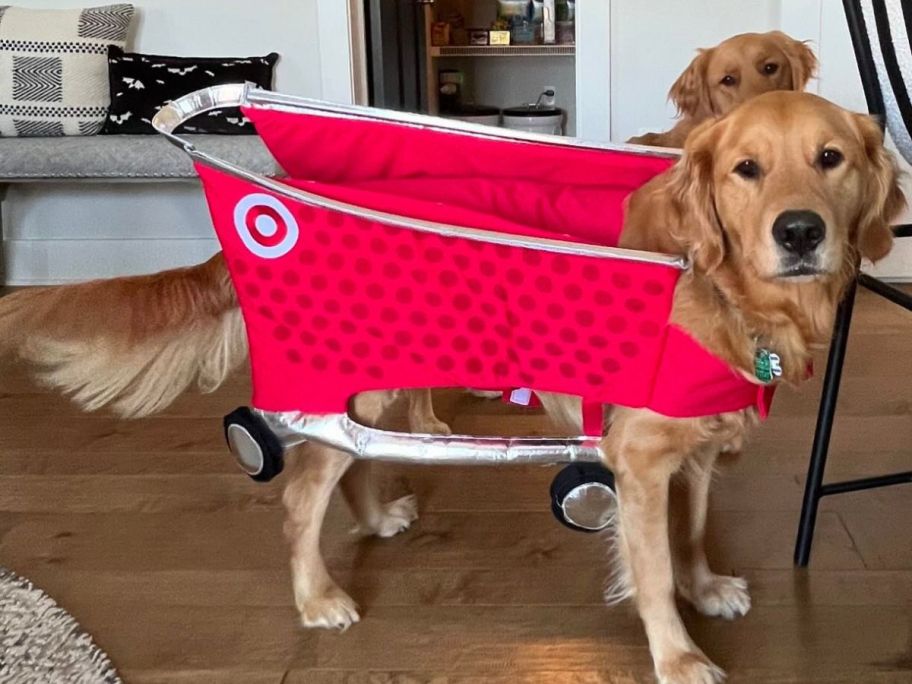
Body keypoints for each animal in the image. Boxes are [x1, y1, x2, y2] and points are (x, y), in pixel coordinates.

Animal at [0, 92, 896, 684]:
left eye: (831, 159)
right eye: (746, 169)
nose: (800, 232)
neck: (727, 297)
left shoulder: (700, 446)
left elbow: (694, 530)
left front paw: (705, 586)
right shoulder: (638, 460)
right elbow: (648, 569)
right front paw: (677, 654)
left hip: (388, 375)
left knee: (354, 457)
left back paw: (375, 518)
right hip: (350, 381)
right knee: (301, 491)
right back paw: (317, 596)